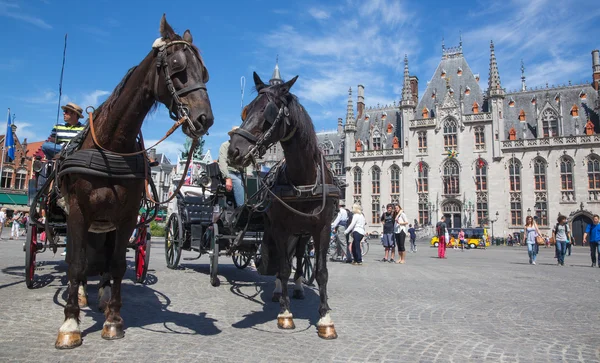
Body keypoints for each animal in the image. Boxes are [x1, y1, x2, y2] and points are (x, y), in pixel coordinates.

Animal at [54, 15, 213, 352]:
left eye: (204, 71)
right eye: (177, 65)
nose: (205, 119)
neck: (112, 144)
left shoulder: (126, 217)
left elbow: (116, 265)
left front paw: (113, 320)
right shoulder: (77, 213)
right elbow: (75, 264)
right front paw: (70, 324)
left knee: (103, 259)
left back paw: (101, 296)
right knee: (79, 258)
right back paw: (83, 296)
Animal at [227, 72, 338, 340]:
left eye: (268, 111)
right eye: (245, 111)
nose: (234, 151)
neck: (303, 179)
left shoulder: (322, 229)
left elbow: (320, 271)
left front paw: (325, 318)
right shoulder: (279, 228)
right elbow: (283, 266)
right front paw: (285, 314)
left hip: (302, 234)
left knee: (297, 257)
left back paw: (297, 288)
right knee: (283, 261)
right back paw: (279, 291)